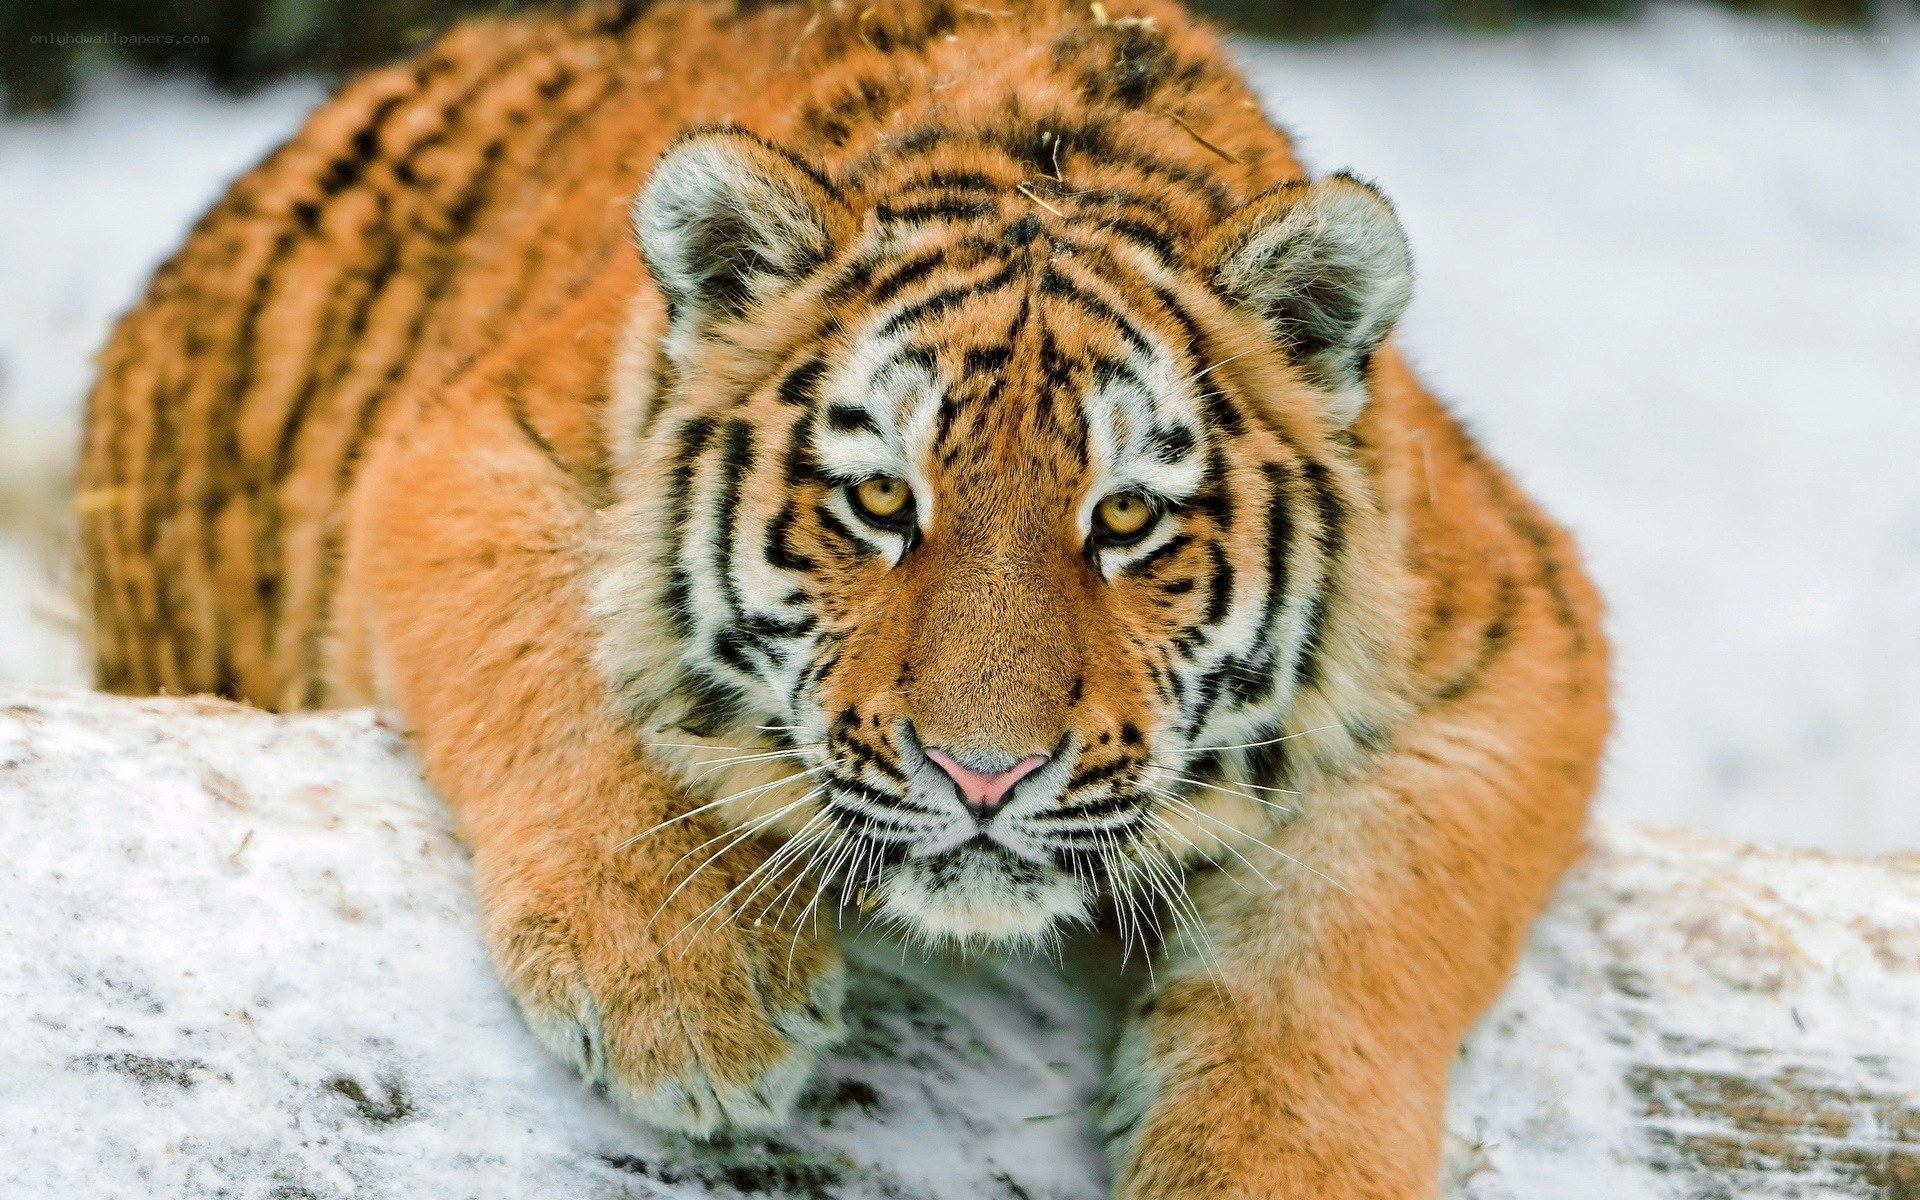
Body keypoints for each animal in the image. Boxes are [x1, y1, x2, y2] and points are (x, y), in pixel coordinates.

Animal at [77, 0, 1611, 1194]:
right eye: (881, 504)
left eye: (1124, 519)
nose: (985, 776)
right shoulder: (477, 443)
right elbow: (563, 679)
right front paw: (686, 997)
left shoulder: (1515, 625)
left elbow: (1362, 920)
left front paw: (1274, 1167)